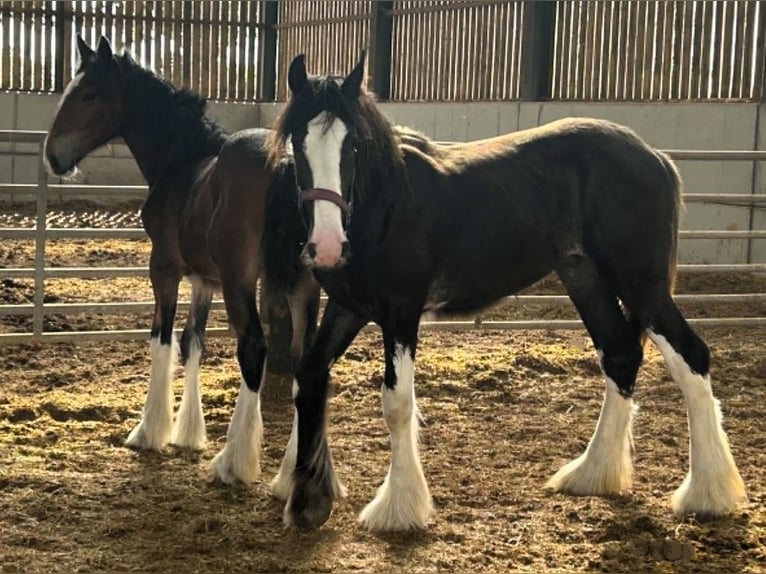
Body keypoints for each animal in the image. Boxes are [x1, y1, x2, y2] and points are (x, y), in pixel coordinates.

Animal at [43, 35, 319, 487]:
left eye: (89, 94)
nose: (53, 157)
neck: (183, 162)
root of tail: (284, 163)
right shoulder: (203, 281)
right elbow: (193, 343)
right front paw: (189, 434)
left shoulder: (165, 269)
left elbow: (162, 339)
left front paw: (149, 431)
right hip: (305, 285)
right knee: (305, 359)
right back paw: (289, 479)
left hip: (242, 284)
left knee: (253, 348)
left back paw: (233, 463)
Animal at [264, 53, 746, 532]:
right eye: (297, 146)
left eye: (354, 147)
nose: (327, 246)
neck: (386, 207)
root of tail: (656, 157)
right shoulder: (348, 307)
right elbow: (308, 377)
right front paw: (302, 492)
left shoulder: (401, 312)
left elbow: (397, 404)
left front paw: (398, 508)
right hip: (585, 278)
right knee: (621, 354)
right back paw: (592, 473)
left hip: (641, 285)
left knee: (692, 357)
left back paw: (707, 493)